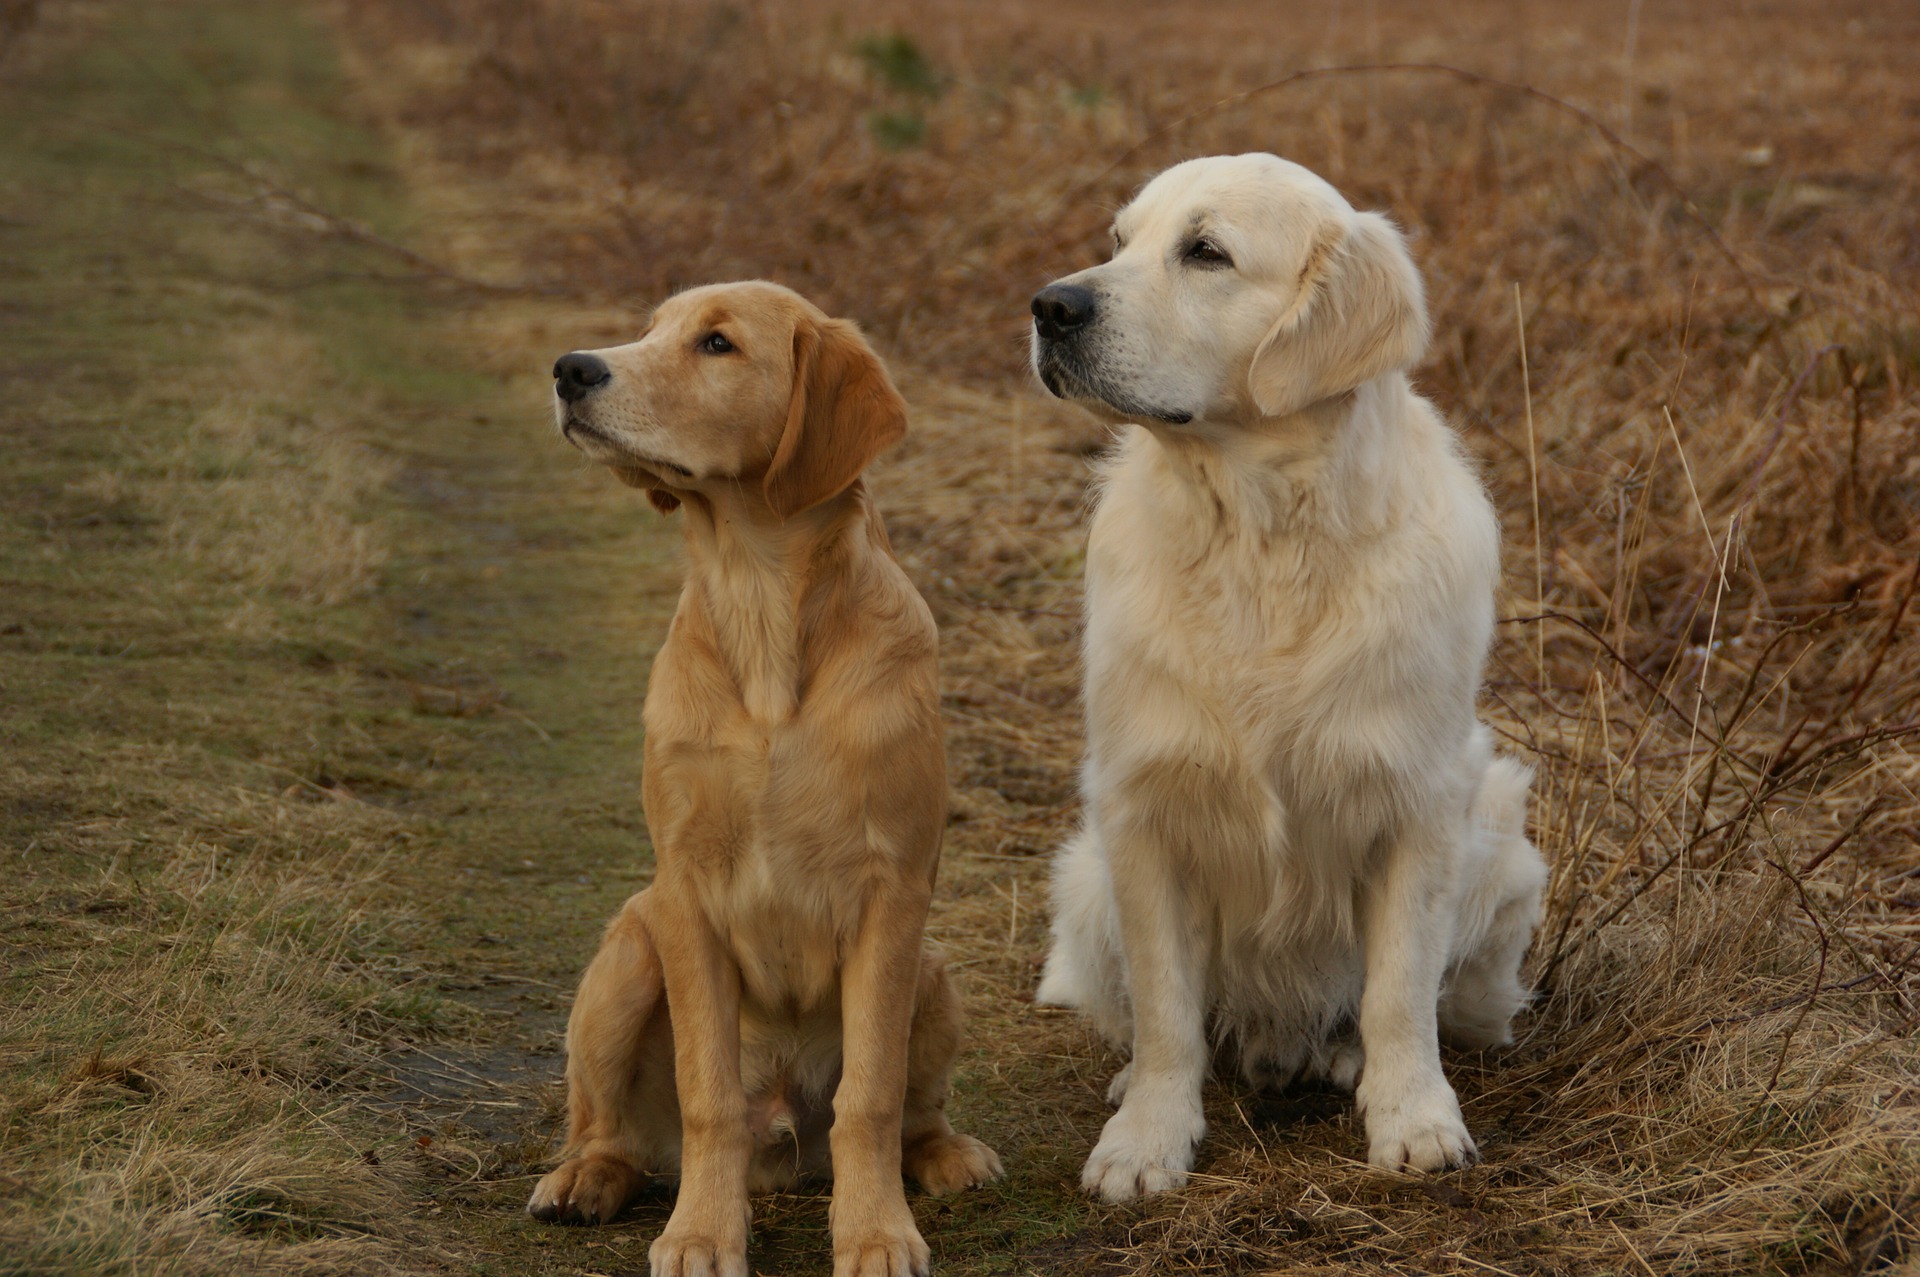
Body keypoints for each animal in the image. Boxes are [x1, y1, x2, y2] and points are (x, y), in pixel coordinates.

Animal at [526, 282, 1006, 1275]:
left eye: (717, 344)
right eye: (650, 329)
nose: (570, 369)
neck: (758, 602)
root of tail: (782, 1144)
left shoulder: (892, 892)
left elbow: (871, 1094)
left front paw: (874, 1231)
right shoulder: (685, 890)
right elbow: (707, 1093)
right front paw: (703, 1232)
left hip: (933, 972)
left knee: (910, 1111)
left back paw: (945, 1154)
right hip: (627, 954)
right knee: (613, 1128)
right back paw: (586, 1177)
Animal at [1036, 154, 1543, 1198]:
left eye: (1206, 251)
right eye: (1119, 242)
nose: (1048, 306)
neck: (1260, 539)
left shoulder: (1418, 803)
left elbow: (1398, 992)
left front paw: (1413, 1117)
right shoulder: (1143, 808)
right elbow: (1166, 1010)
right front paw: (1147, 1137)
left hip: (1503, 848)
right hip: (1085, 880)